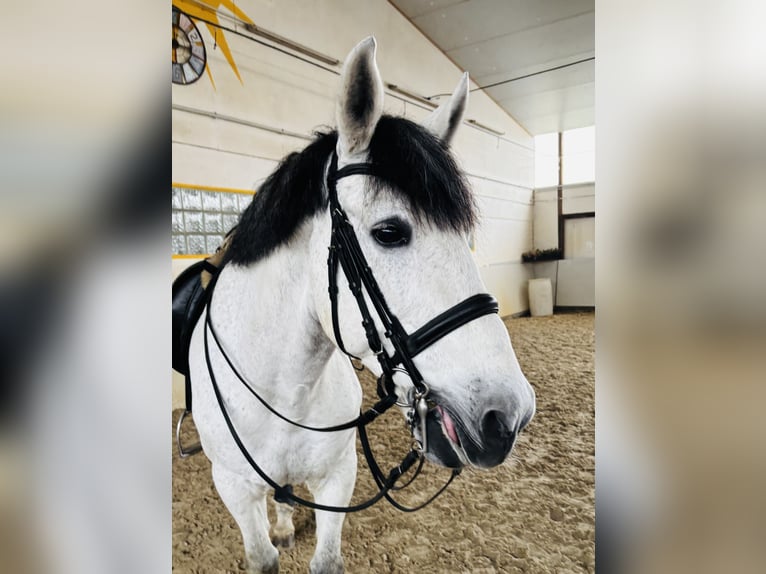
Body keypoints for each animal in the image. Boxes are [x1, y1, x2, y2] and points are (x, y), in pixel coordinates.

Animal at [186, 37, 536, 574]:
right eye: (389, 232)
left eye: (466, 237)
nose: (508, 419)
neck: (284, 395)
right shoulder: (234, 490)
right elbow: (261, 553)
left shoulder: (338, 479)